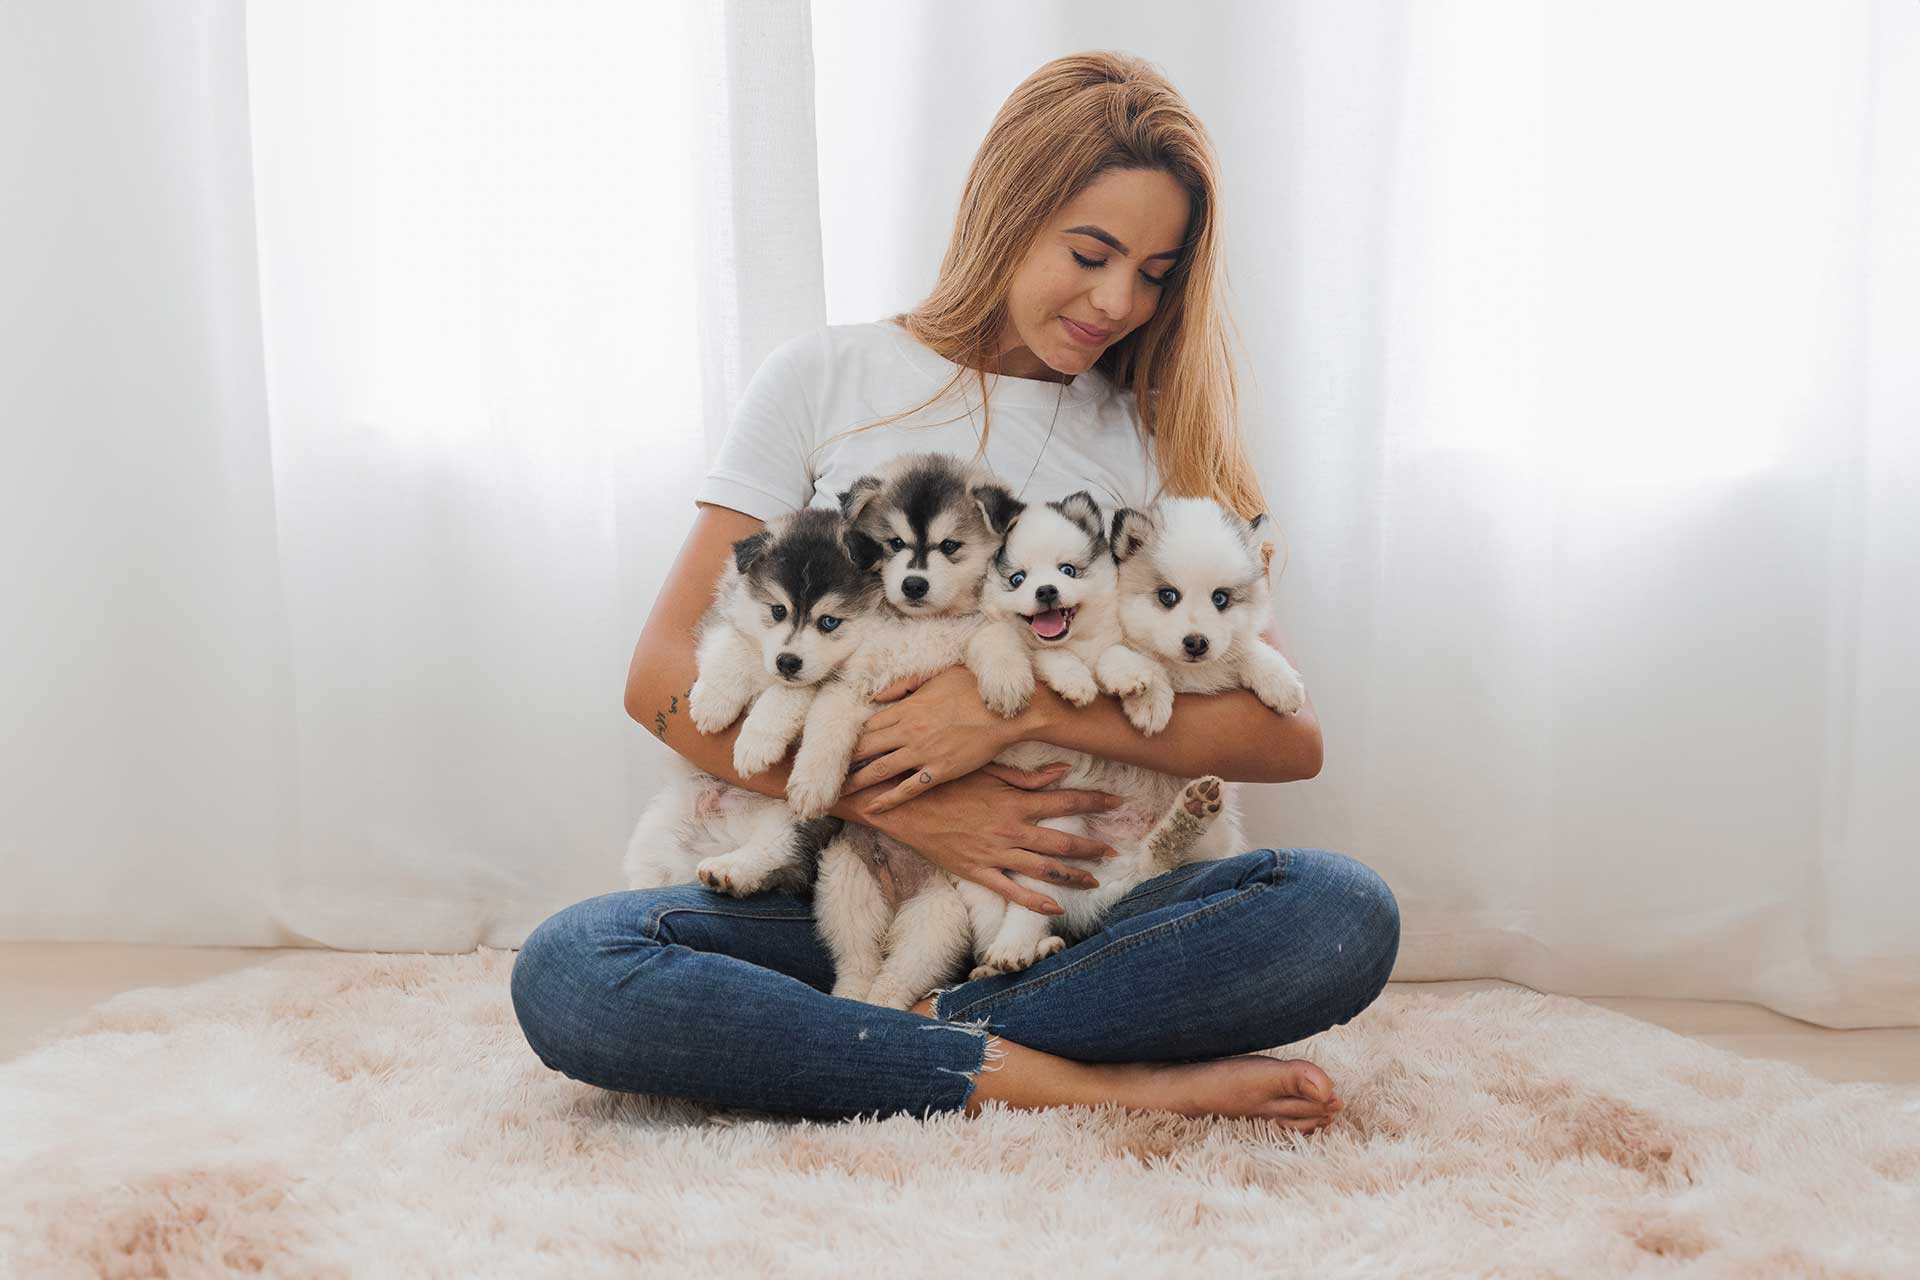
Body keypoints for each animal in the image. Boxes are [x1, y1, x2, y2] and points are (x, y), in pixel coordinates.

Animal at [622, 506, 879, 898]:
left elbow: (792, 693)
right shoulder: (720, 623)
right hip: (658, 828)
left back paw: (728, 870)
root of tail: (723, 831)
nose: (787, 662)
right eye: (777, 610)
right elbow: (733, 644)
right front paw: (713, 702)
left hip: (793, 816)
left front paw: (756, 743)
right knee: (650, 870)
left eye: (829, 622)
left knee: (776, 850)